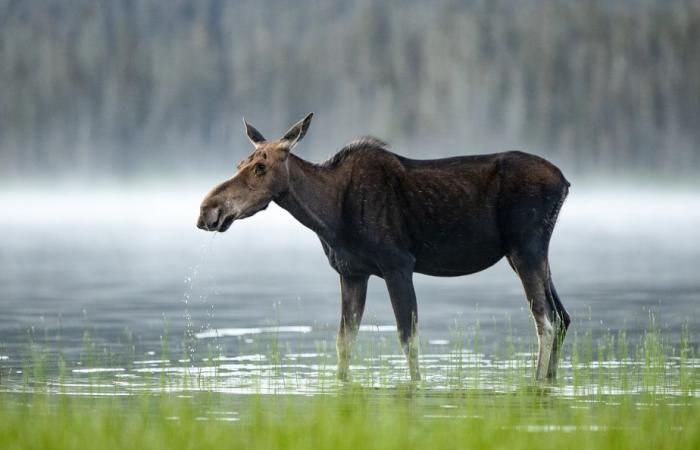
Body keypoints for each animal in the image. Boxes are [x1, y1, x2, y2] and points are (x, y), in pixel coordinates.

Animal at [197, 114, 568, 382]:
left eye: (261, 166)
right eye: (239, 164)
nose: (207, 210)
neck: (328, 216)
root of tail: (565, 182)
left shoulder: (398, 266)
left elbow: (408, 340)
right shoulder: (352, 273)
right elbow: (344, 343)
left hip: (526, 248)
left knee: (545, 322)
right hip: (529, 255)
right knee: (561, 317)